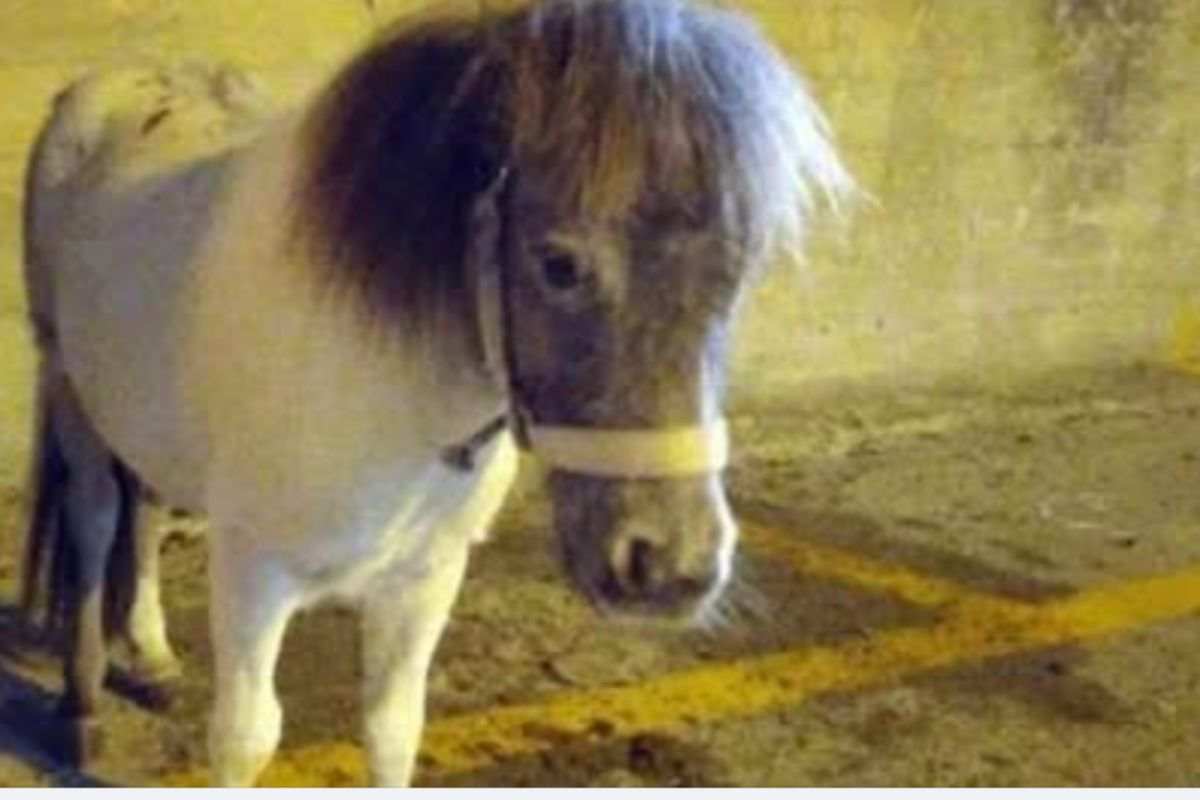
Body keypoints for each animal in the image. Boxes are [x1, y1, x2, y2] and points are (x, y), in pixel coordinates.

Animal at [18, 0, 852, 786]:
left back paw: (152, 656)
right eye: (558, 264)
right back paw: (83, 701)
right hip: (71, 387)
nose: (673, 568)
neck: (388, 385)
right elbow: (246, 740)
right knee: (97, 516)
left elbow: (394, 729)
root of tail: (99, 89)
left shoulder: (425, 578)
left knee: (147, 509)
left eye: (740, 270)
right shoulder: (254, 572)